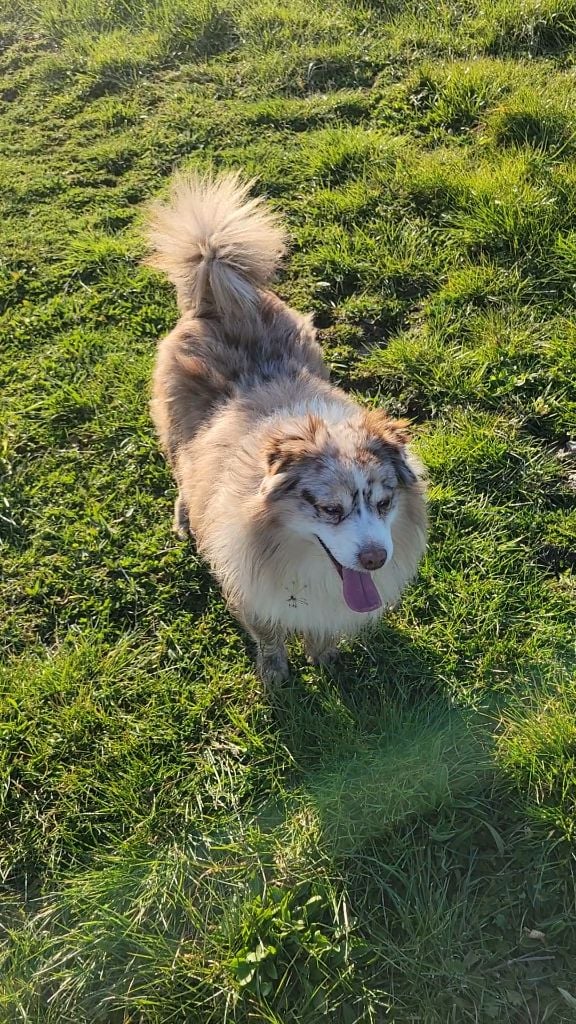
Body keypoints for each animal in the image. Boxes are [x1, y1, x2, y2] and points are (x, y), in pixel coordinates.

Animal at [146, 172, 427, 684]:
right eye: (330, 509)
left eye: (384, 503)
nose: (375, 559)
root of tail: (217, 296)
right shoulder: (252, 587)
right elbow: (269, 636)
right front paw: (276, 678)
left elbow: (322, 633)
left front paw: (326, 660)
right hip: (174, 432)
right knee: (181, 473)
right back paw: (184, 517)